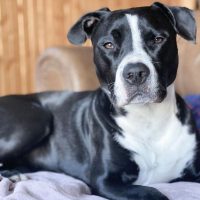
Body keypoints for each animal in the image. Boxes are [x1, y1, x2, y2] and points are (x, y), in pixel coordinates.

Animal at [0, 1, 198, 200]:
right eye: (108, 44)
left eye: (158, 39)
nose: (135, 73)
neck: (148, 120)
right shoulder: (105, 181)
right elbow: (152, 193)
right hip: (36, 119)